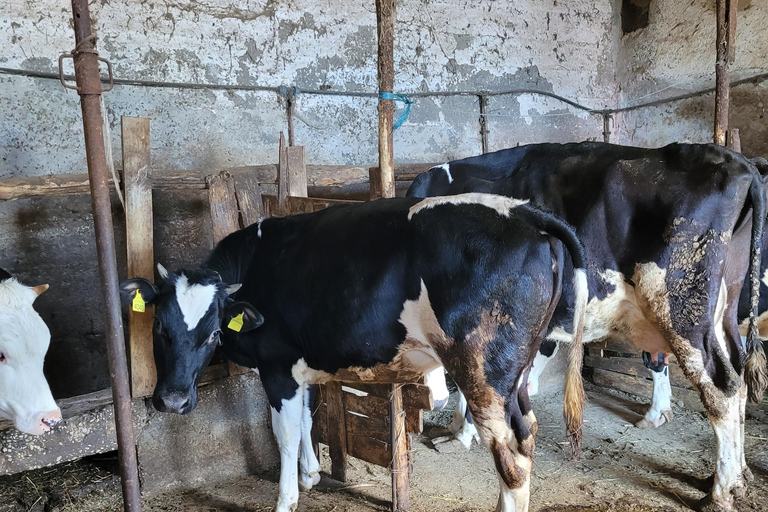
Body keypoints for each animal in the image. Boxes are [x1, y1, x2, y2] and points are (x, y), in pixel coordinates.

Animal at [119, 194, 589, 512]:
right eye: (159, 327)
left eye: (214, 332)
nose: (172, 400)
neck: (256, 266)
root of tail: (522, 211)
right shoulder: (304, 366)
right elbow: (307, 418)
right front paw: (311, 474)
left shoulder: (278, 367)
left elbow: (284, 432)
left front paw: (286, 498)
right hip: (516, 372)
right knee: (527, 431)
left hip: (482, 372)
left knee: (511, 453)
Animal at [407, 142, 767, 512]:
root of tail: (738, 162)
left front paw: (461, 435)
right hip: (725, 308)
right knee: (739, 375)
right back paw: (736, 476)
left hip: (682, 308)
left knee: (721, 388)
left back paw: (721, 492)